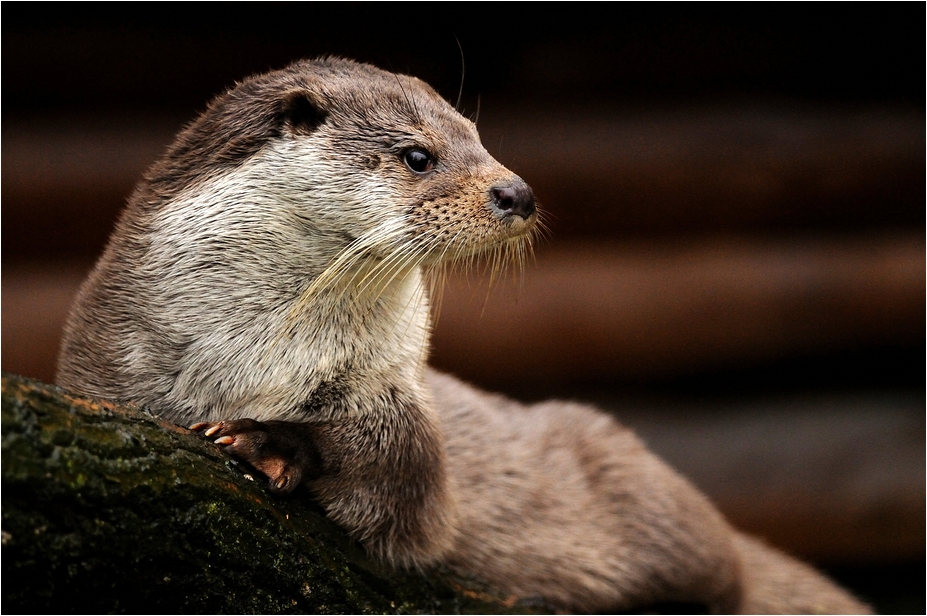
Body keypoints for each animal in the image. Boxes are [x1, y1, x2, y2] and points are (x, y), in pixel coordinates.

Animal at [56, 58, 869, 613]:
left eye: (480, 140)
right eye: (418, 155)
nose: (517, 190)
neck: (259, 357)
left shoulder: (401, 404)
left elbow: (407, 485)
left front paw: (267, 440)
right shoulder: (107, 369)